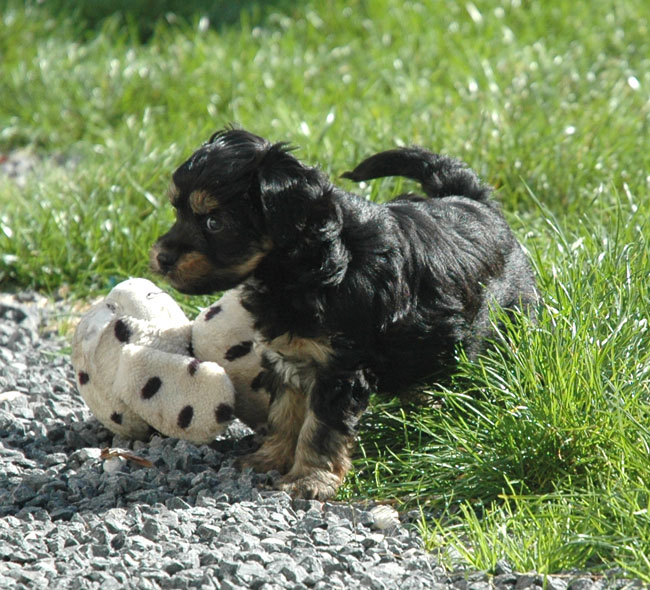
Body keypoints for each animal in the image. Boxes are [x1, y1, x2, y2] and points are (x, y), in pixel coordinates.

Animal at [150, 128, 539, 500]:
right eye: (178, 211)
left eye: (215, 222)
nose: (162, 258)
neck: (307, 265)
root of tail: (474, 200)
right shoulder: (289, 356)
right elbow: (284, 413)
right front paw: (270, 458)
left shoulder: (341, 369)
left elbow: (320, 428)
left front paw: (309, 479)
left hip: (508, 319)